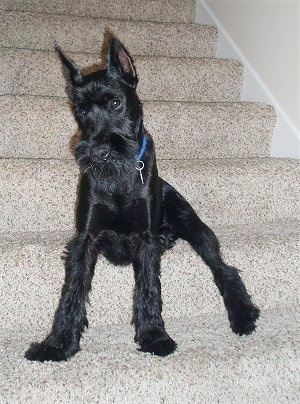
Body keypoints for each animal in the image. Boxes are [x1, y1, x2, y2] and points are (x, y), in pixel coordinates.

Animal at [24, 36, 258, 362]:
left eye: (115, 103)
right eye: (81, 111)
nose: (98, 152)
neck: (119, 173)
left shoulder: (146, 239)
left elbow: (149, 289)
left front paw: (154, 336)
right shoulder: (85, 239)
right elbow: (72, 292)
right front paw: (57, 344)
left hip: (195, 227)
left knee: (225, 270)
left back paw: (243, 314)